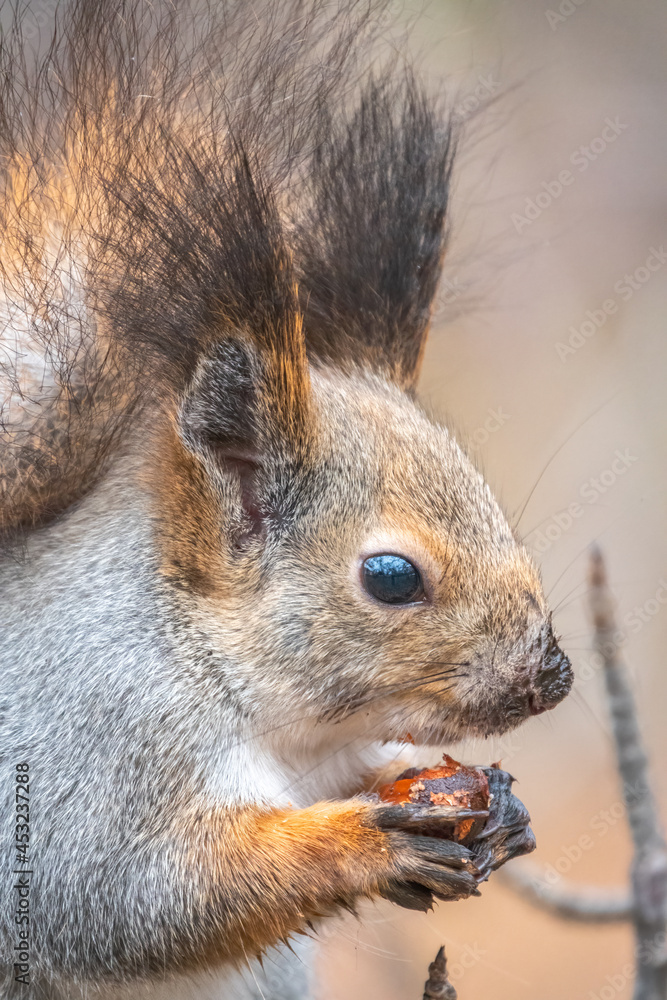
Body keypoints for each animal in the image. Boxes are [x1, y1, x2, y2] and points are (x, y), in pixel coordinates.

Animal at [0, 1, 574, 998]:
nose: (551, 675)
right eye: (390, 577)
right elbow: (124, 895)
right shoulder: (88, 746)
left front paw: (496, 806)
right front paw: (360, 846)